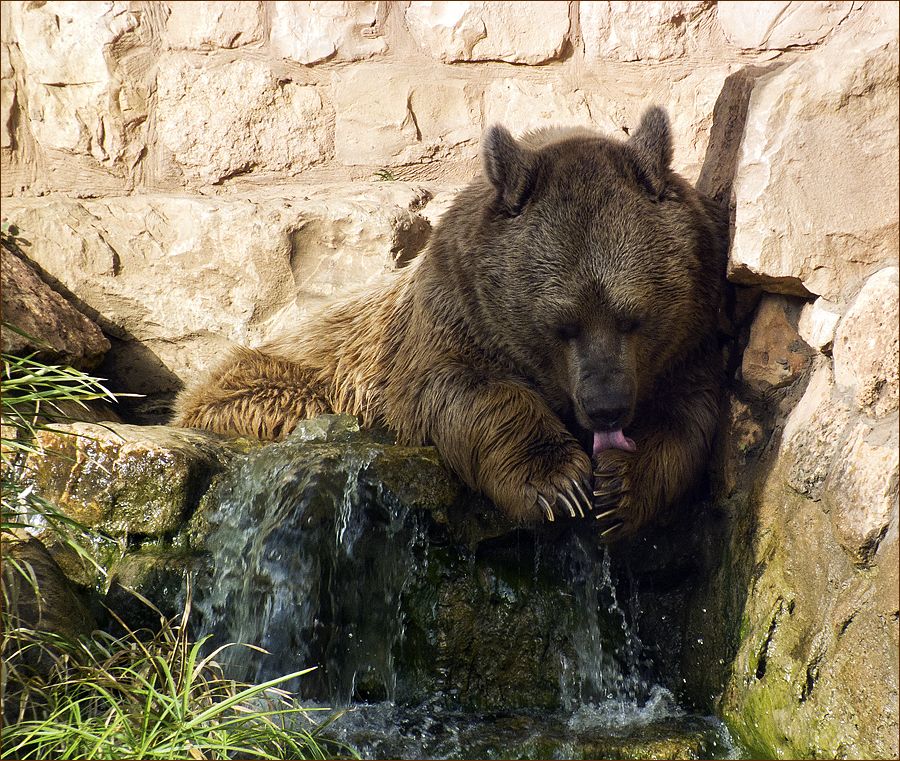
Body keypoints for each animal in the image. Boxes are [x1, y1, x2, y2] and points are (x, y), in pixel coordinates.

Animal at [174, 107, 724, 536]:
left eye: (633, 319)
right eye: (562, 325)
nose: (606, 408)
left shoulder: (689, 344)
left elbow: (684, 419)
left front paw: (618, 487)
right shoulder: (448, 320)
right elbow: (460, 389)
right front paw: (557, 484)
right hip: (275, 376)